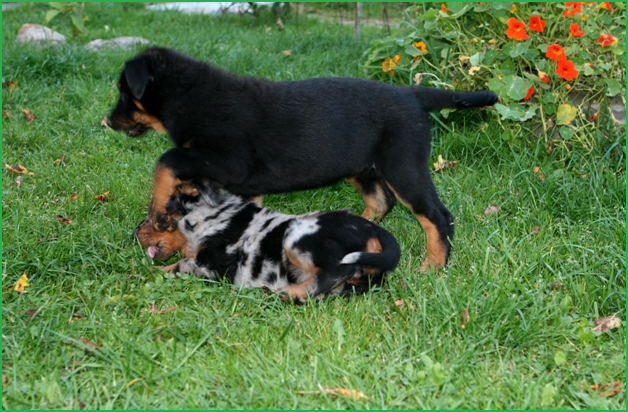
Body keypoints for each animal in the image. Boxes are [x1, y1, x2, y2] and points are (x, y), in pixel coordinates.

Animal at [109, 46, 500, 270]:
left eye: (123, 93)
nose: (108, 121)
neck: (190, 95)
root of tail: (413, 94)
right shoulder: (240, 182)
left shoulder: (228, 159)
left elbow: (168, 158)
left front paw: (158, 212)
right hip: (362, 166)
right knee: (381, 202)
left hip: (402, 164)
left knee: (436, 215)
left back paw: (433, 266)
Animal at [147, 183, 400, 302]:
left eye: (152, 215)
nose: (137, 235)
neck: (213, 216)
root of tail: (374, 230)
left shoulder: (214, 265)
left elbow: (180, 265)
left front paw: (151, 274)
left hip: (296, 236)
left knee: (340, 269)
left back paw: (292, 293)